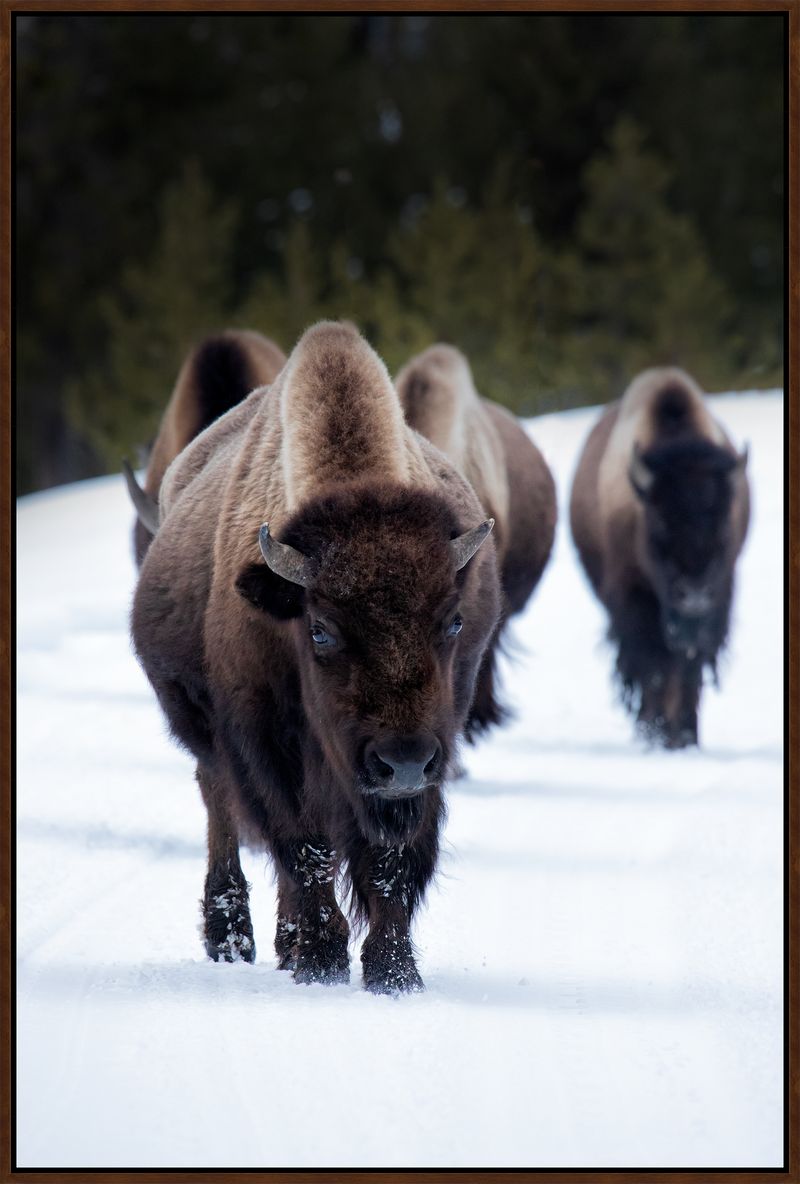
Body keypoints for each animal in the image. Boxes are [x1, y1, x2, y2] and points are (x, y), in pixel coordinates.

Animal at [130, 322, 501, 992]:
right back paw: (238, 940)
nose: (403, 762)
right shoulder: (265, 741)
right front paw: (322, 964)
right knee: (223, 810)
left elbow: (388, 861)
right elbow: (305, 850)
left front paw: (393, 974)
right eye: (321, 631)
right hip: (207, 739)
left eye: (454, 621)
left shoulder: (432, 749)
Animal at [569, 367, 750, 748]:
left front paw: (685, 736)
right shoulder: (633, 595)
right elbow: (653, 666)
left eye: (723, 521)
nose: (693, 595)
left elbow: (689, 668)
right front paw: (656, 734)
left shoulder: (718, 598)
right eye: (661, 521)